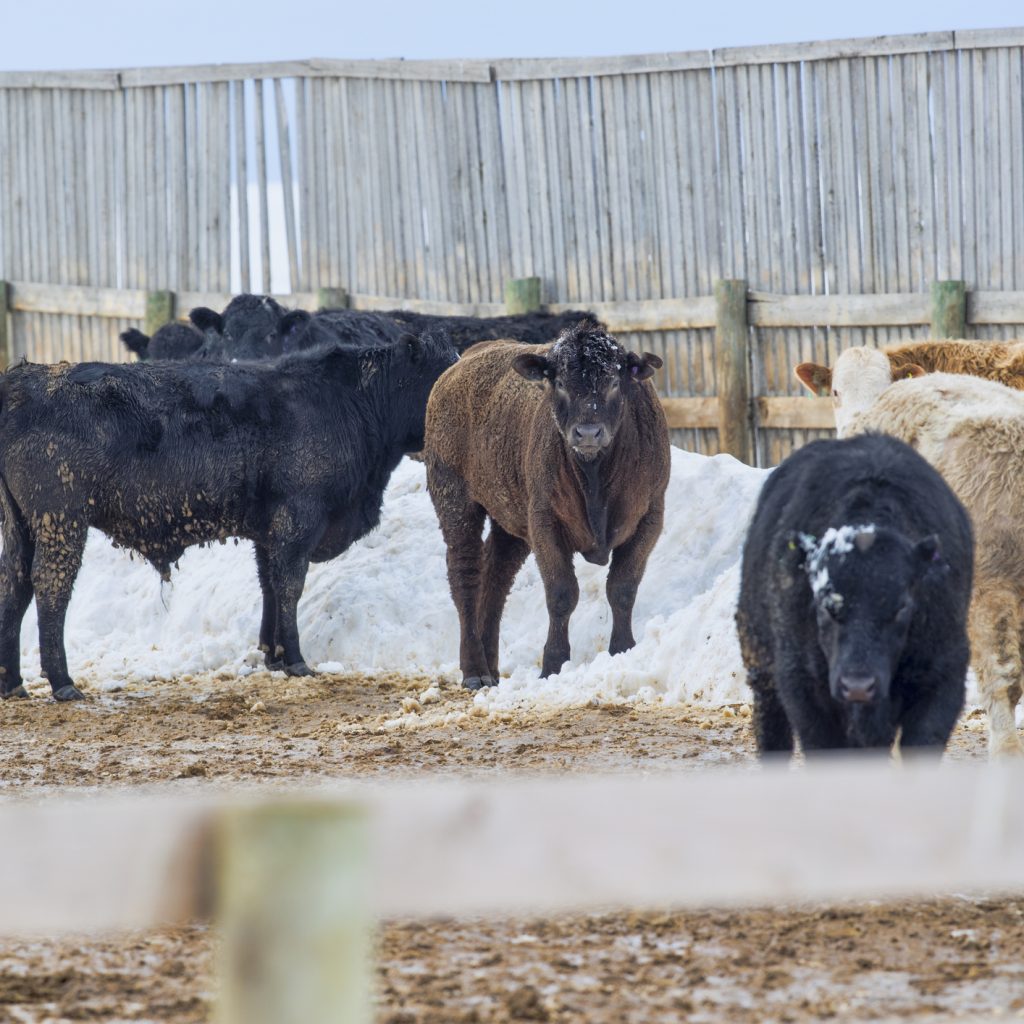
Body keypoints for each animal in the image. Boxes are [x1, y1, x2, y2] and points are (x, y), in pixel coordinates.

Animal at [0, 329, 458, 701]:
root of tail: (22, 377)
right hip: (60, 519)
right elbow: (289, 587)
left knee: (15, 584)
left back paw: (13, 683)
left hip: (21, 525)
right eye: (440, 375)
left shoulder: (268, 531)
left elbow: (269, 585)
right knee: (50, 586)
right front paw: (296, 660)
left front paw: (272, 655)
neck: (353, 403)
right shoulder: (296, 521)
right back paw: (62, 682)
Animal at [423, 320, 670, 689]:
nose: (587, 433)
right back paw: (475, 670)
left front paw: (623, 651)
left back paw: (491, 667)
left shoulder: (649, 518)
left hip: (510, 522)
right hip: (455, 501)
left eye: (614, 381)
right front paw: (553, 664)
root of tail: (460, 365)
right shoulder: (545, 524)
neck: (596, 475)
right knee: (465, 574)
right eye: (560, 383)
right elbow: (562, 593)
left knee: (496, 575)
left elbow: (622, 587)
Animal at [736, 433, 973, 756]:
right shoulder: (804, 689)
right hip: (761, 670)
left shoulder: (943, 677)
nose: (858, 686)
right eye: (826, 605)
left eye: (901, 607)